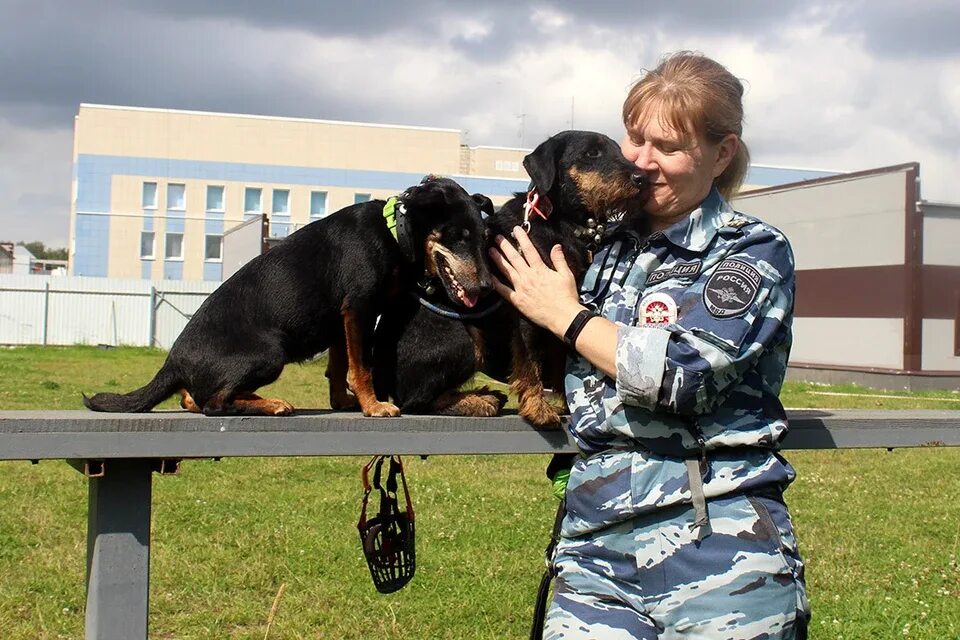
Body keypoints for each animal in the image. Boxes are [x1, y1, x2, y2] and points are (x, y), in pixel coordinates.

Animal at [82, 175, 496, 418]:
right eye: (459, 236)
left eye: (482, 238)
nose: (485, 288)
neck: (395, 233)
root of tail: (172, 363)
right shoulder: (359, 307)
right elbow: (359, 366)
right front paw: (373, 406)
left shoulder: (340, 318)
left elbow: (338, 366)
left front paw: (343, 402)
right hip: (270, 353)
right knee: (213, 404)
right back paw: (271, 404)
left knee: (195, 398)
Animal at [372, 131, 648, 424]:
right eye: (591, 153)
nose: (642, 179)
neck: (560, 221)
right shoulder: (528, 309)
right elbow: (530, 360)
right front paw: (539, 408)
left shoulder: (561, 308)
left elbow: (559, 357)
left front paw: (563, 404)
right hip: (464, 340)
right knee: (416, 400)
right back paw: (478, 401)